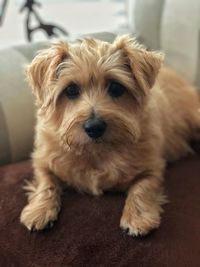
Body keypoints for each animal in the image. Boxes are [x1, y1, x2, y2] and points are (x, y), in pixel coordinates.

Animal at [20, 35, 200, 237]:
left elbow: (142, 187)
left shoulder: (153, 167)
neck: (97, 152)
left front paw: (137, 217)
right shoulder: (42, 160)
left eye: (116, 87)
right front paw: (39, 210)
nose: (94, 127)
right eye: (71, 90)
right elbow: (46, 182)